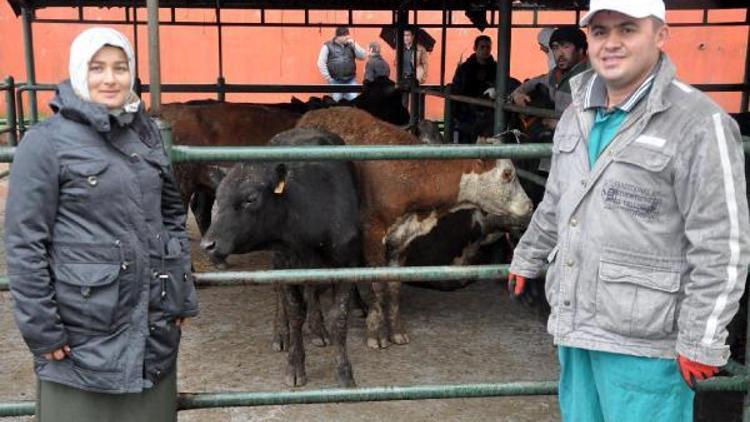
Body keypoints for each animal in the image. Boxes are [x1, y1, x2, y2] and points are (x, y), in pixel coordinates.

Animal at [296, 106, 536, 350]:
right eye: (507, 174)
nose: (530, 205)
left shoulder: (403, 238)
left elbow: (393, 286)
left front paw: (396, 331)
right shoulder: (372, 233)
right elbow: (377, 284)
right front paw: (376, 333)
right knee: (309, 278)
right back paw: (317, 328)